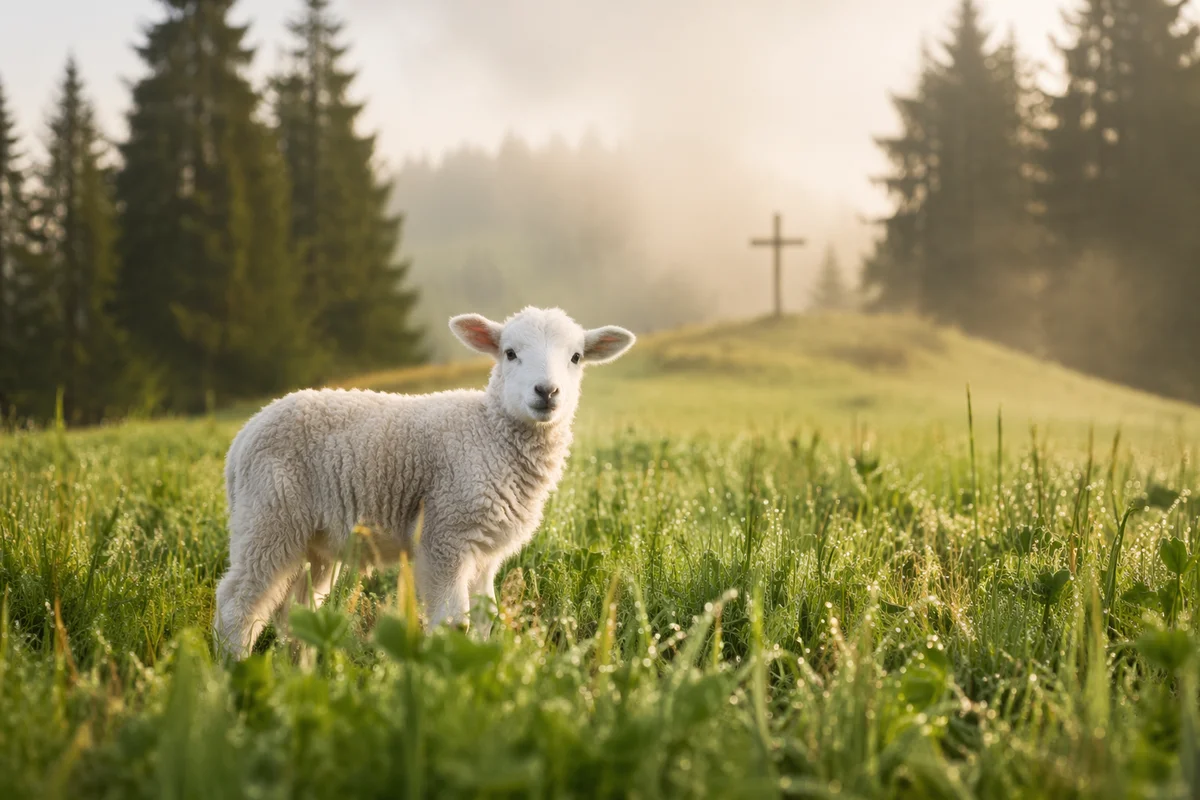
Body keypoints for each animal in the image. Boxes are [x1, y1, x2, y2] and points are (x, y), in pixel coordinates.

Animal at [213, 306, 636, 659]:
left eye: (576, 357)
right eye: (510, 353)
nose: (546, 392)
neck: (489, 432)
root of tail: (242, 438)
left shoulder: (485, 551)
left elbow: (486, 619)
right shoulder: (444, 534)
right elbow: (454, 621)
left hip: (312, 540)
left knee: (295, 608)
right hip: (269, 516)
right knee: (238, 602)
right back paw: (235, 668)